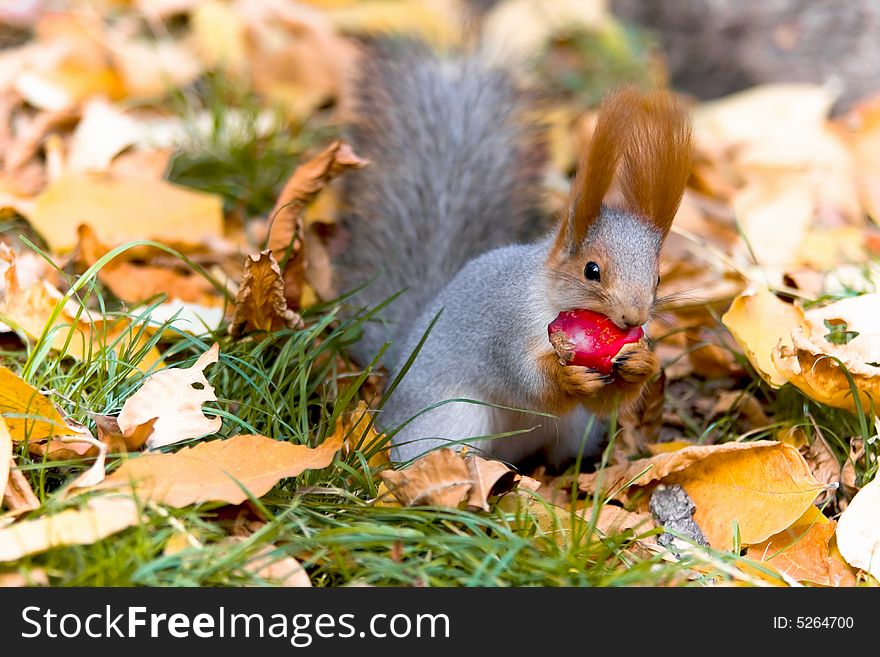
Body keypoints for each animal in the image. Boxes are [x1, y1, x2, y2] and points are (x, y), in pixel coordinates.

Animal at [336, 42, 696, 466]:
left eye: (658, 277)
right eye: (591, 270)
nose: (634, 317)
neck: (553, 298)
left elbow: (606, 402)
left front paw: (643, 364)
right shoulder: (505, 327)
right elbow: (528, 384)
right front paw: (565, 377)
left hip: (572, 430)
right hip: (449, 419)